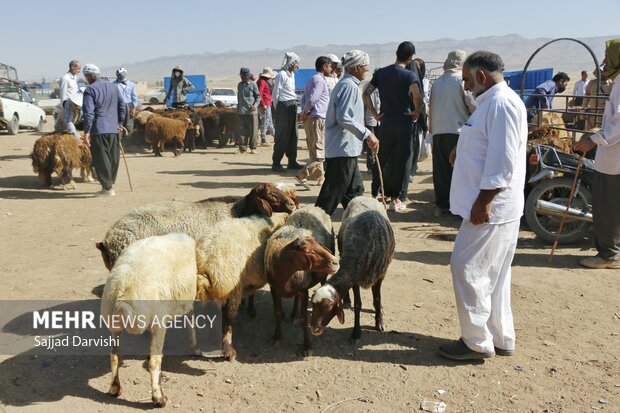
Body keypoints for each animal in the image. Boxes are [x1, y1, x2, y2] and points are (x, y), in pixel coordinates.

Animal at [100, 230, 200, 408]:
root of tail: (122, 291)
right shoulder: (187, 300)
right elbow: (191, 321)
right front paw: (195, 348)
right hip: (157, 322)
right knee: (154, 361)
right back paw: (159, 398)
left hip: (113, 325)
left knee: (114, 356)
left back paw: (115, 388)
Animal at [195, 212, 290, 360]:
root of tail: (205, 264)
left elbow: (252, 292)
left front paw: (251, 308)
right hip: (232, 289)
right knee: (227, 320)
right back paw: (229, 351)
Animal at [262, 205, 340, 354]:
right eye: (309, 252)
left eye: (318, 244)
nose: (335, 261)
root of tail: (315, 207)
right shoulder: (274, 289)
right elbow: (277, 312)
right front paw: (277, 336)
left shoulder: (304, 291)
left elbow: (304, 319)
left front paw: (307, 346)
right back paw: (293, 314)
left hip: (320, 277)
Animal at [310, 196, 398, 342]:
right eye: (313, 305)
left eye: (328, 307)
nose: (313, 329)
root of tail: (364, 196)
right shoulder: (355, 280)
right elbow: (358, 304)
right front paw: (356, 332)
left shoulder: (379, 276)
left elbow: (377, 299)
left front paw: (379, 322)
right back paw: (347, 301)